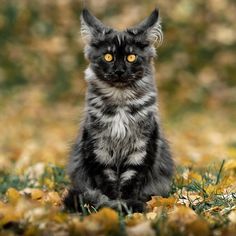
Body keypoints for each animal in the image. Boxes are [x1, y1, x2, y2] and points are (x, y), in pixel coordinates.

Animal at [63, 8, 174, 213]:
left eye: (131, 57)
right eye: (108, 56)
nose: (120, 71)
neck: (120, 102)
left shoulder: (141, 147)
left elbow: (131, 181)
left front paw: (127, 206)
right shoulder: (98, 148)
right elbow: (107, 183)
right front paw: (113, 206)